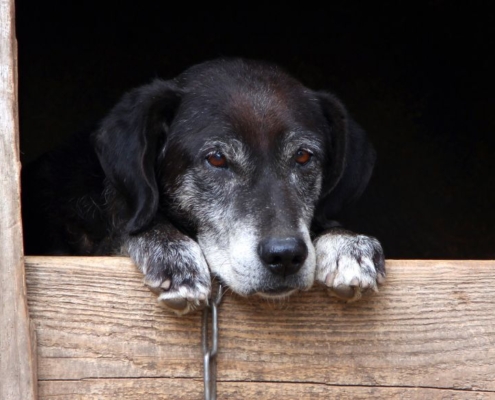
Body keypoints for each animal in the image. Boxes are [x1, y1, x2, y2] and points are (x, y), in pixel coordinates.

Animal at [22, 58, 388, 316]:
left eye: (303, 156)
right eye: (216, 158)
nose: (285, 256)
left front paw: (346, 241)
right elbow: (128, 222)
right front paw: (173, 252)